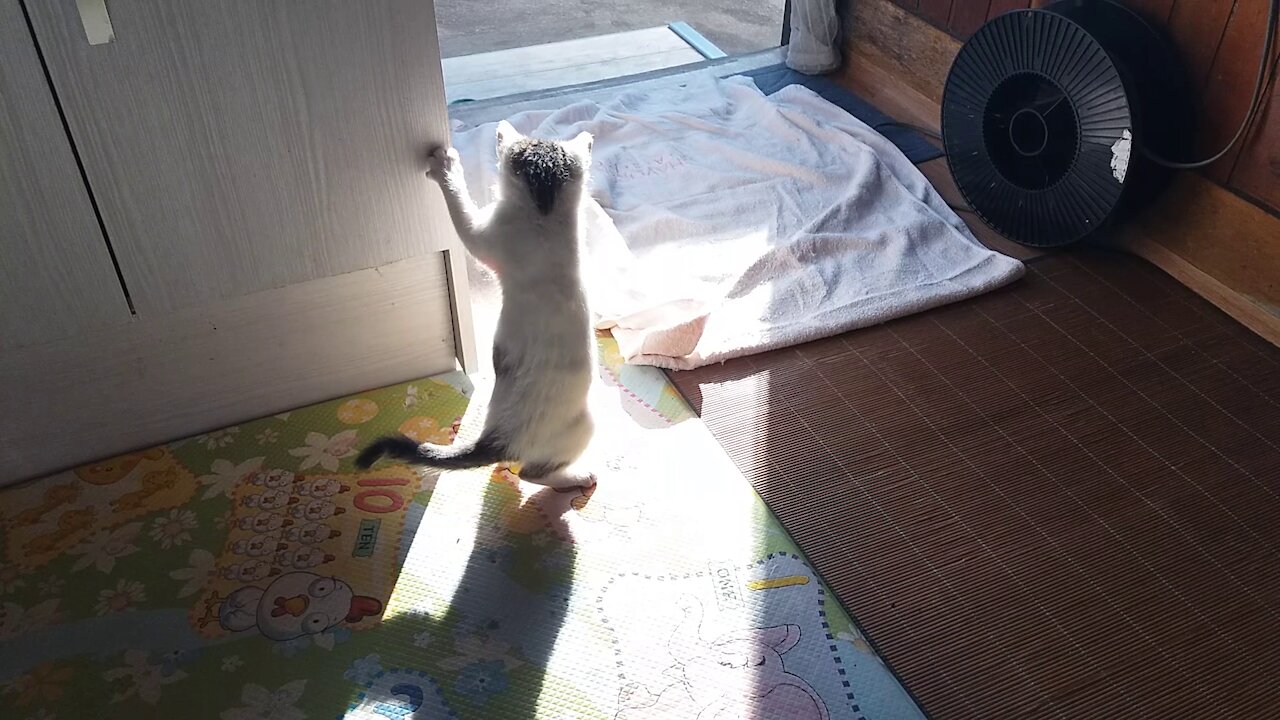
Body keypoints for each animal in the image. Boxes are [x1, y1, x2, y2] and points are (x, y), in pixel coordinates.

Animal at [355, 120, 599, 486]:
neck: (544, 212)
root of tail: (495, 440)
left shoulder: (487, 236)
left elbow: (461, 212)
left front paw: (446, 167)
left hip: (583, 425)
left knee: (531, 472)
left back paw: (575, 477)